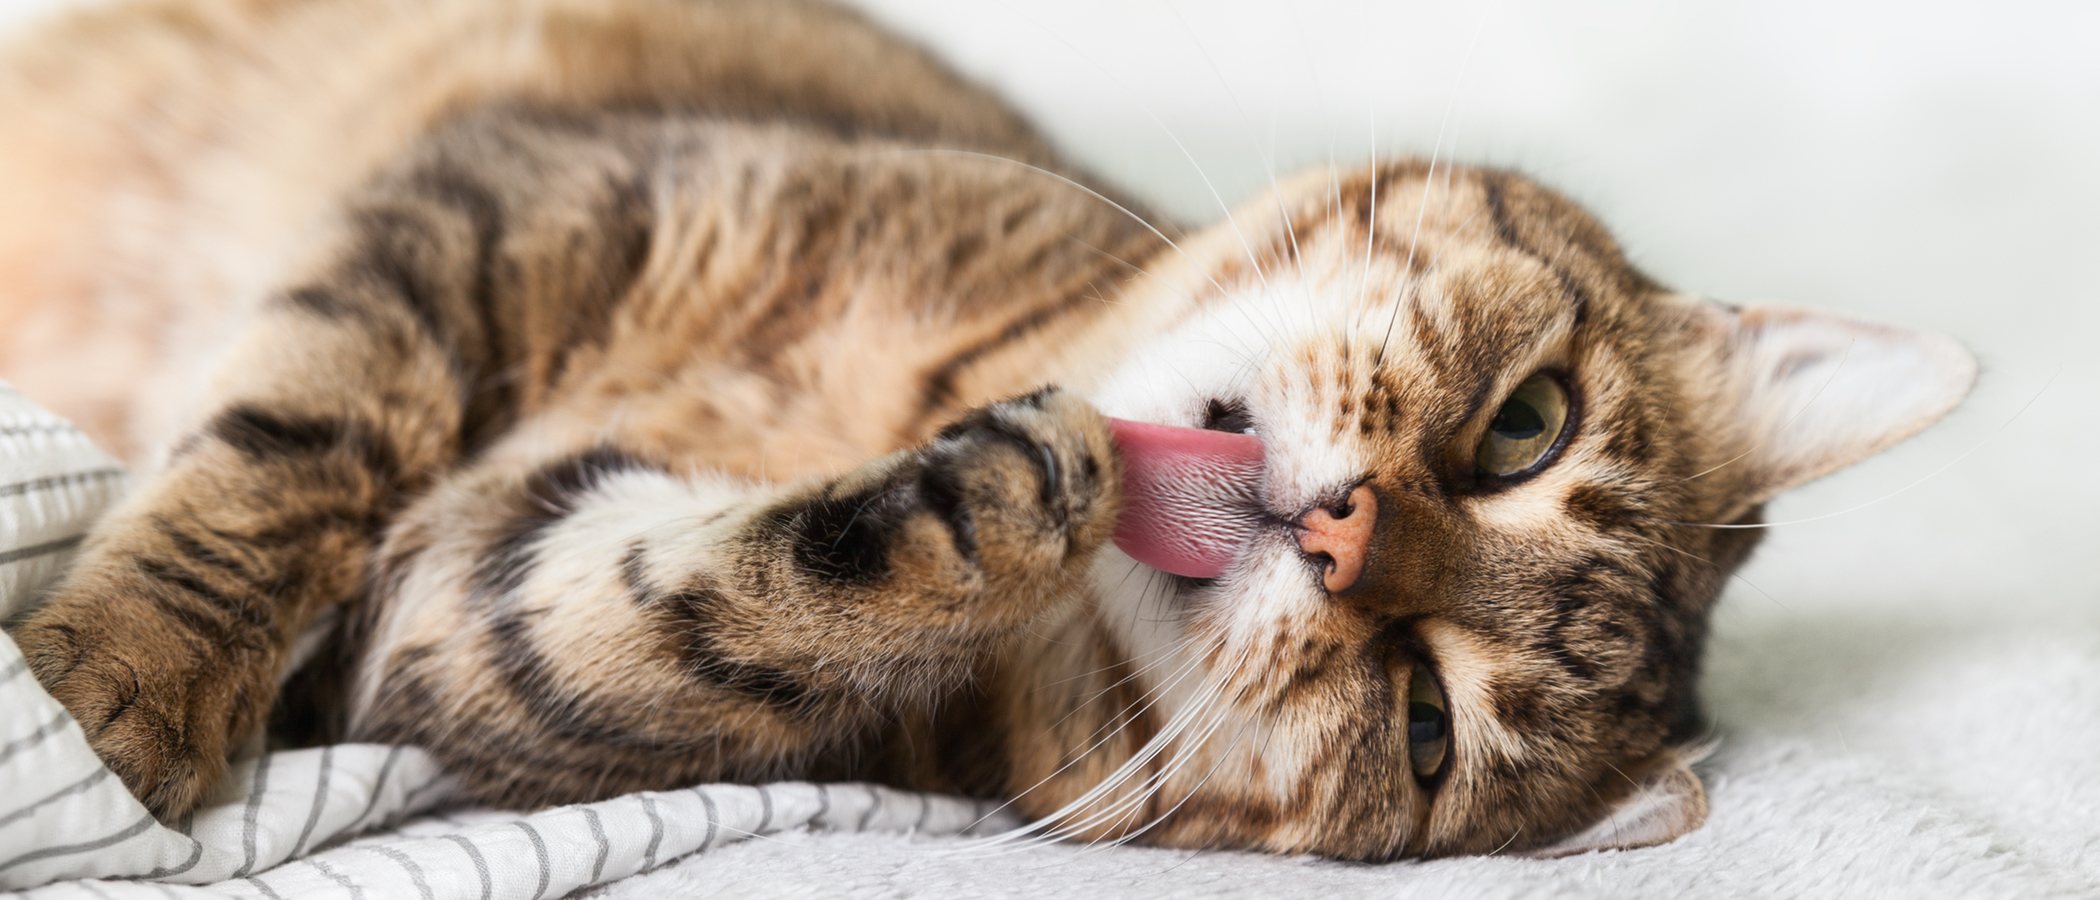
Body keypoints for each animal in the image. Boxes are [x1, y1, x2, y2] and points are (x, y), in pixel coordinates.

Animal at [0, 0, 1973, 860]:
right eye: (1527, 428)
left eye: (1426, 726)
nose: (1345, 538)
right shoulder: (510, 202)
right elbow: (290, 452)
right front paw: (116, 686)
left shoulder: (464, 619)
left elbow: (662, 627)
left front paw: (992, 506)